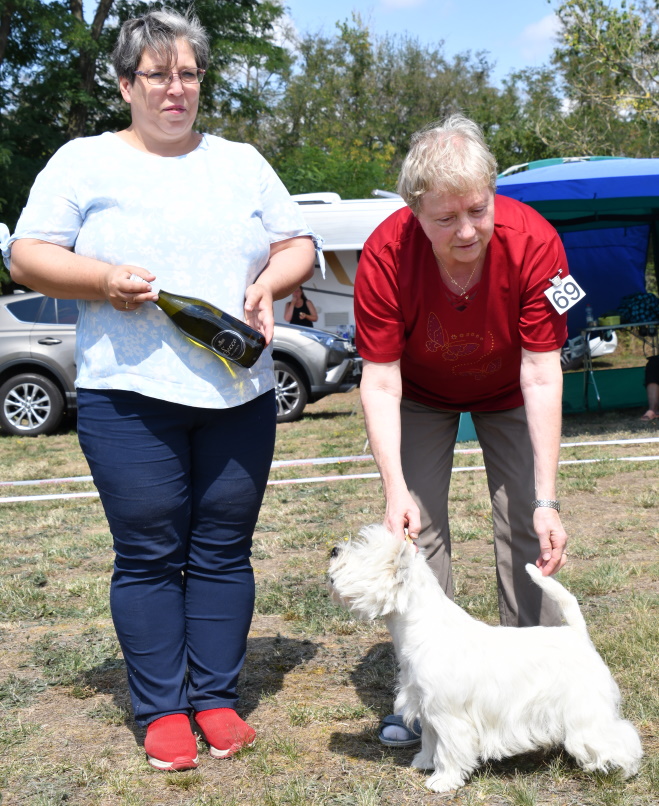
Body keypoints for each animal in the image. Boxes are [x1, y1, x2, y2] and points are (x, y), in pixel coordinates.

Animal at [330, 524, 644, 796]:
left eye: (363, 552)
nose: (333, 550)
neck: (422, 628)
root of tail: (578, 634)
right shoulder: (426, 707)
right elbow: (431, 740)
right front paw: (424, 762)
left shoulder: (449, 715)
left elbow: (449, 749)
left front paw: (443, 780)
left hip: (585, 709)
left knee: (619, 735)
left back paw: (623, 770)